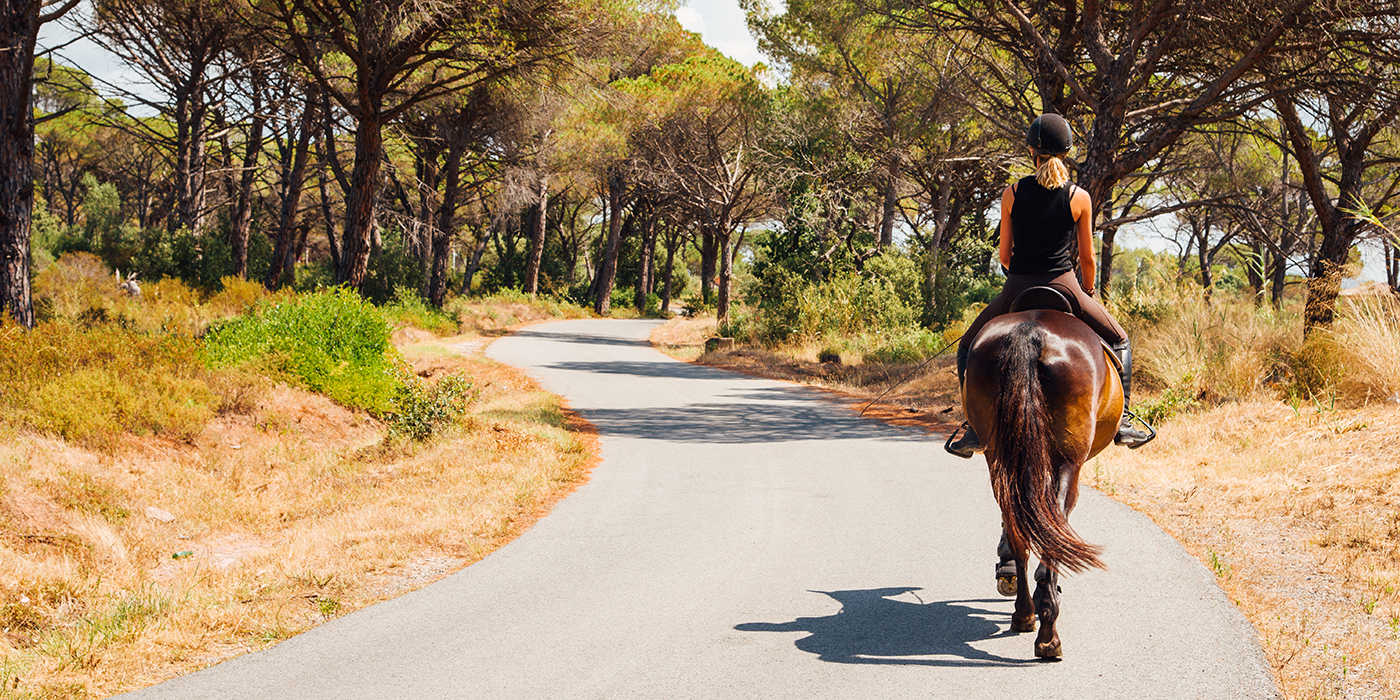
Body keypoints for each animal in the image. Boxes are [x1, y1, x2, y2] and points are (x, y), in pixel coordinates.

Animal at [955, 294, 1125, 659]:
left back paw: (1024, 613)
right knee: (1055, 522)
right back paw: (1049, 632)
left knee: (1017, 520)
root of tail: (1029, 333)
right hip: (1069, 462)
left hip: (998, 454)